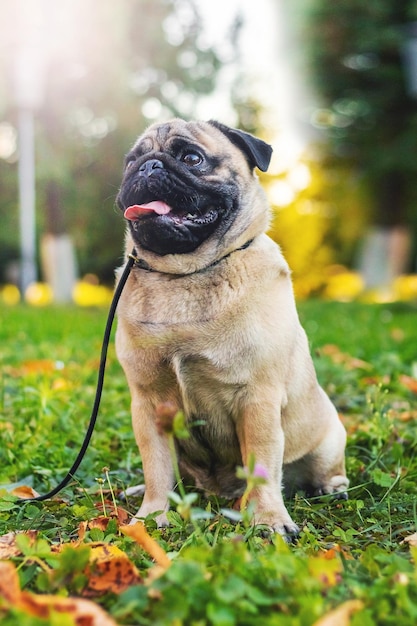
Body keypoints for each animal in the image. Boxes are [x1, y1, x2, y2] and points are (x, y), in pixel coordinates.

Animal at [114, 118, 348, 536]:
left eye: (191, 158)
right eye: (130, 163)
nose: (148, 166)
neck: (186, 275)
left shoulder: (257, 400)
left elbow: (262, 467)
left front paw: (269, 520)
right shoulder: (149, 404)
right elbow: (157, 466)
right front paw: (152, 516)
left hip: (328, 441)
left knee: (321, 469)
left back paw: (330, 488)